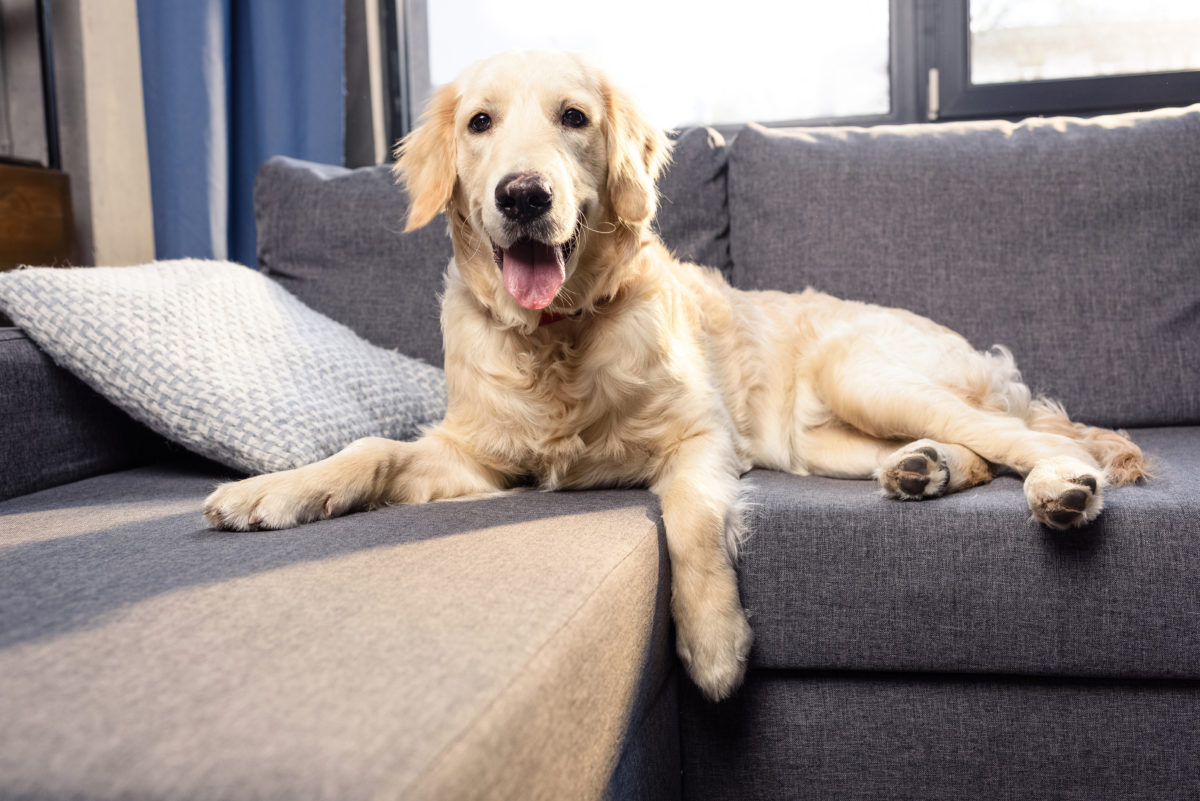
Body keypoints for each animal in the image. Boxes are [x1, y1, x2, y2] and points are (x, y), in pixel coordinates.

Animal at [204, 50, 1142, 700]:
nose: (523, 195)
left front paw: (715, 645)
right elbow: (372, 449)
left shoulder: (702, 438)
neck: (559, 337)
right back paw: (926, 469)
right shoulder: (474, 457)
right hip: (825, 440)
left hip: (865, 373)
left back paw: (1061, 486)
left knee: (1017, 436)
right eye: (479, 123)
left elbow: (688, 520)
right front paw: (273, 490)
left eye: (573, 117)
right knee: (974, 449)